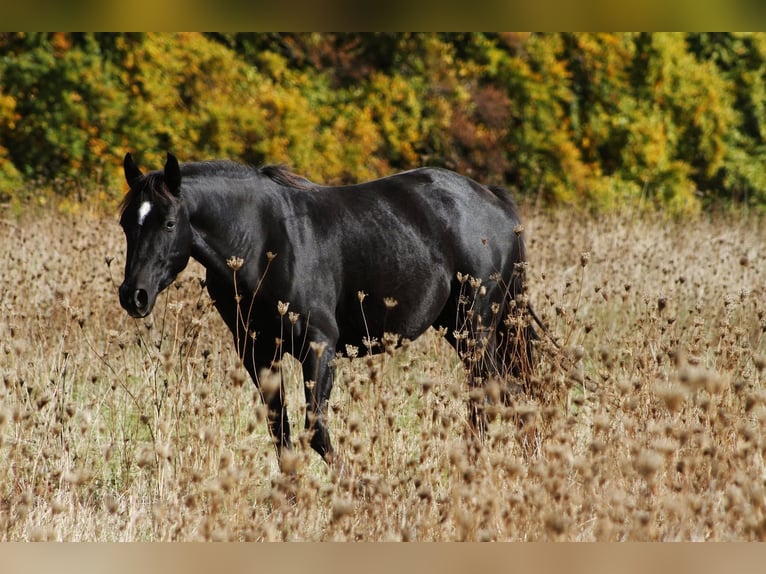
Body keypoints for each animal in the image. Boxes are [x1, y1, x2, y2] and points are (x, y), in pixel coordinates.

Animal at [118, 152, 536, 468]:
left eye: (169, 223)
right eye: (126, 223)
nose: (133, 295)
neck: (261, 241)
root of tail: (493, 200)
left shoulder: (318, 347)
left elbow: (315, 429)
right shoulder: (258, 353)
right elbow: (281, 433)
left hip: (477, 325)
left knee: (496, 392)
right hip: (459, 328)